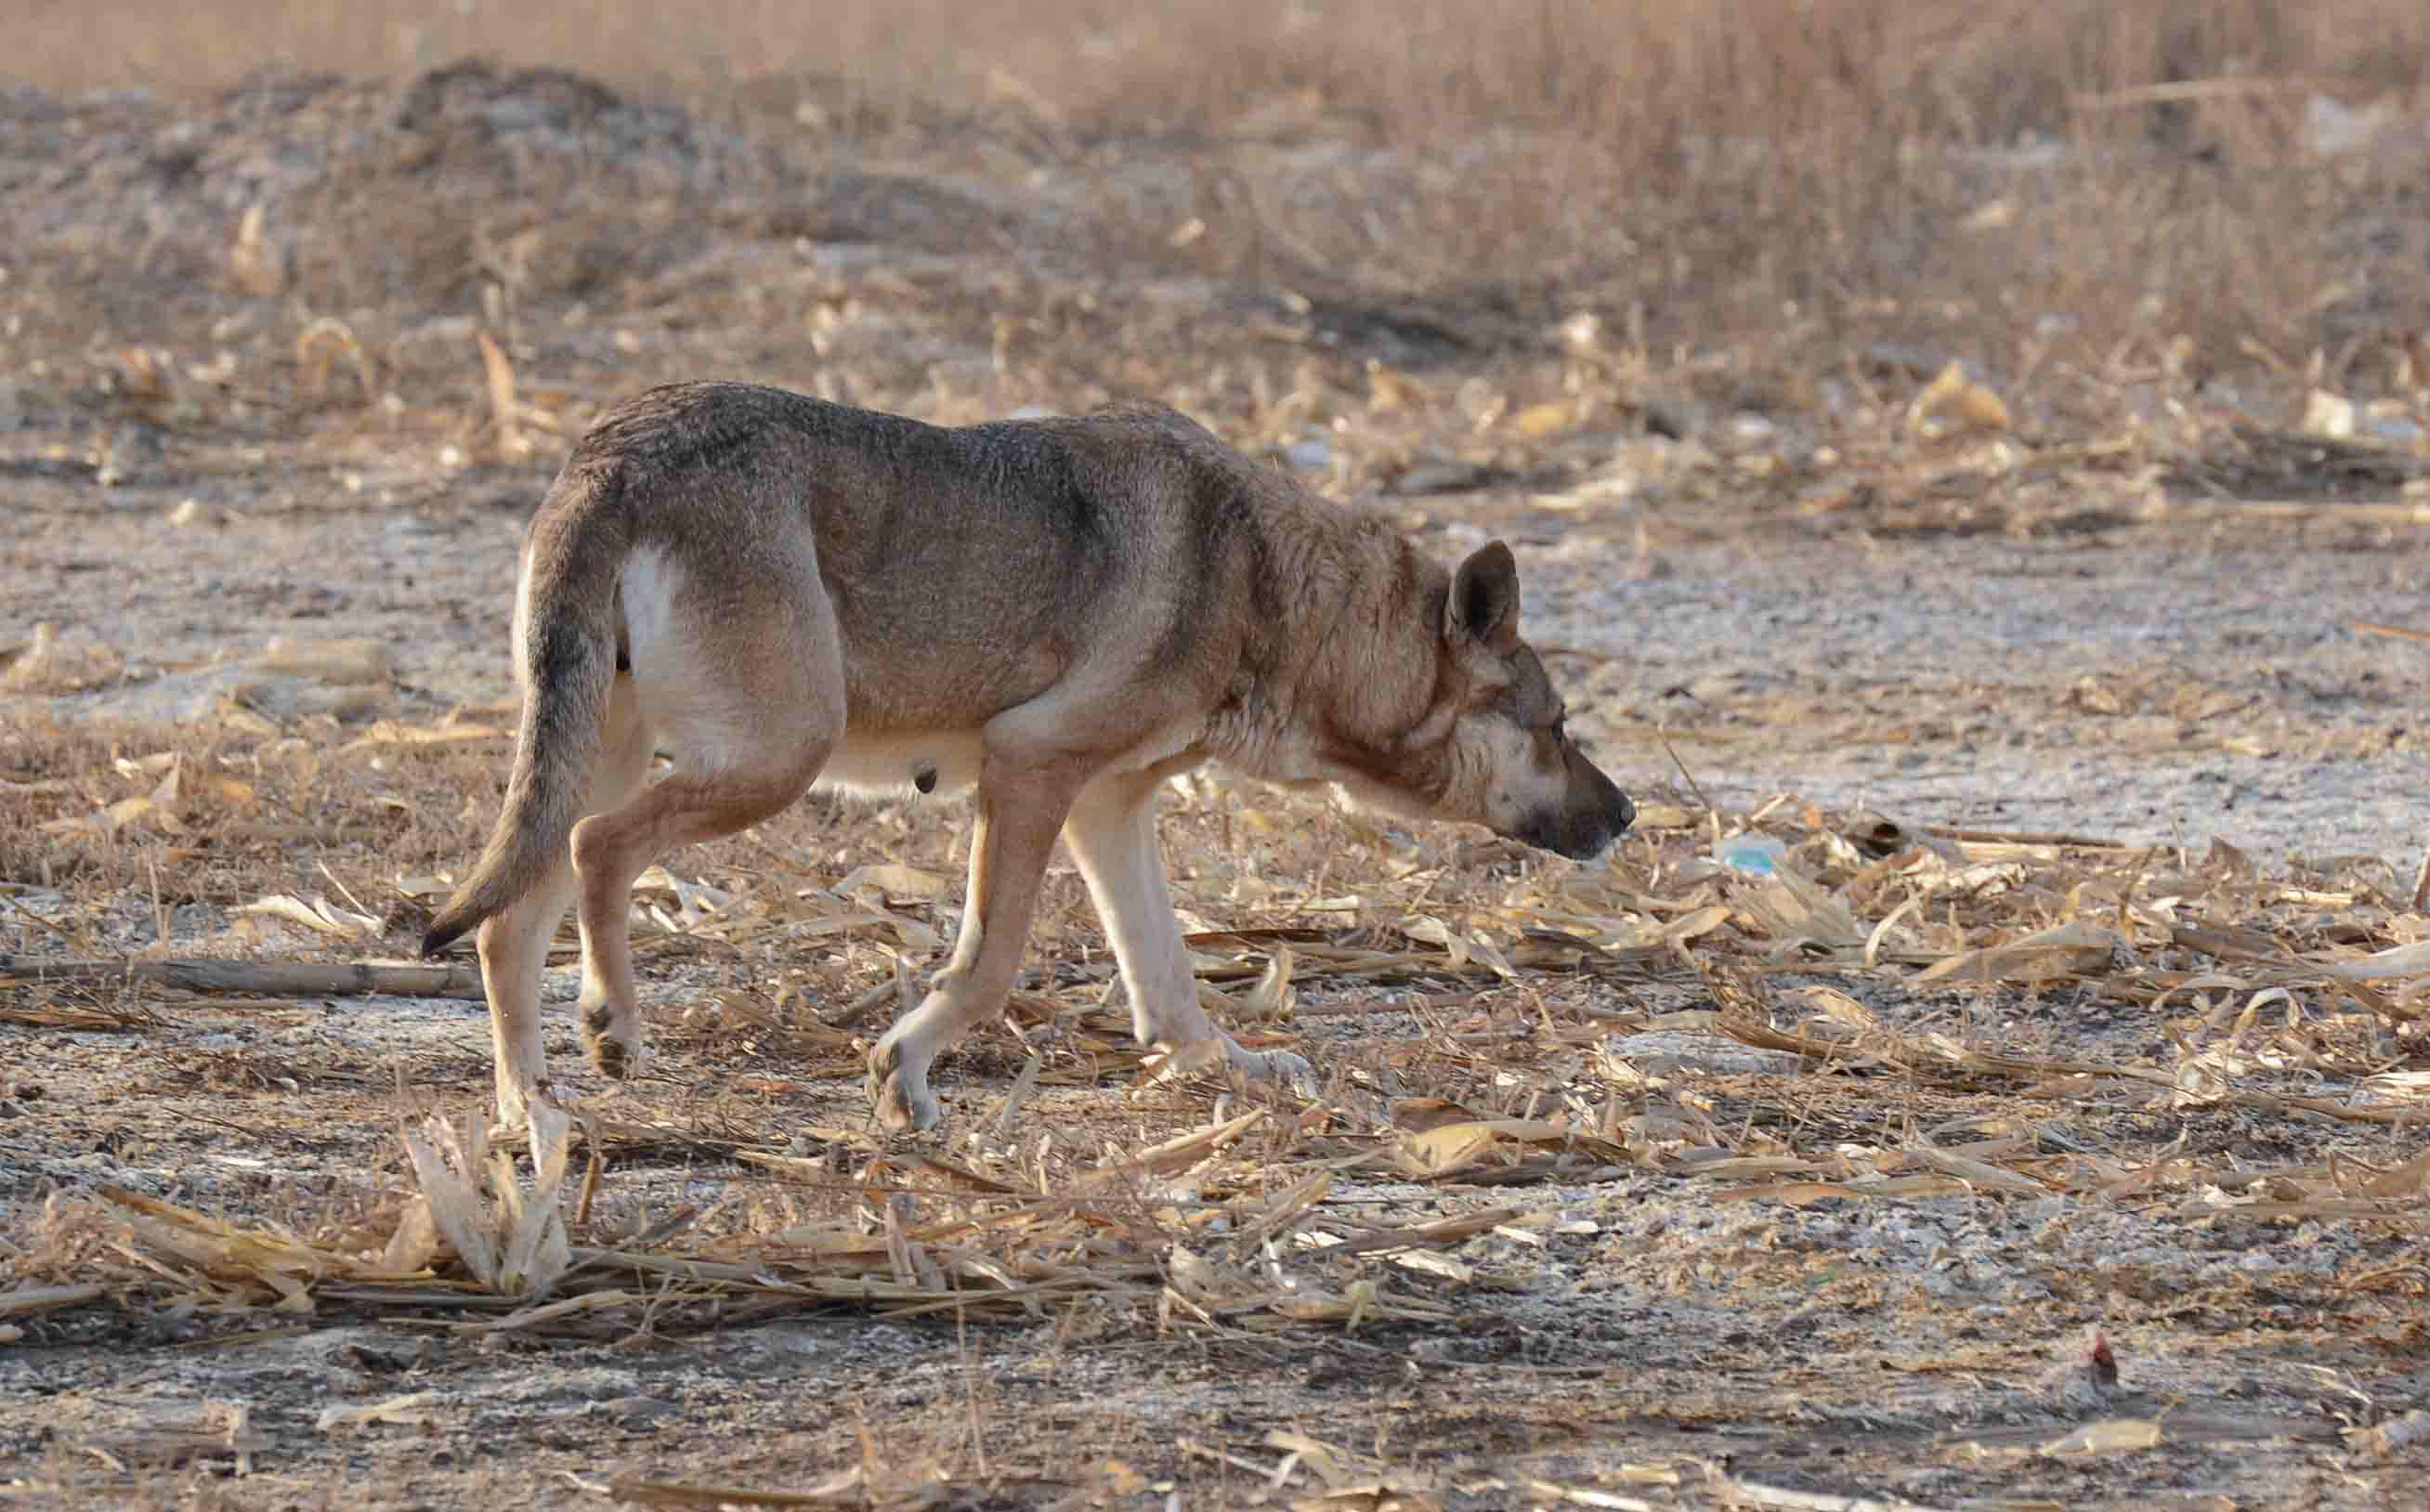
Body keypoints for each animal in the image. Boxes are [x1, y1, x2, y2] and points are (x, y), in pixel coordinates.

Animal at [423, 384, 1632, 1132]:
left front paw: (1234, 1068)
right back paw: (611, 1028)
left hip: (624, 753)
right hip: (771, 758)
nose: (1625, 815)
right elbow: (991, 963)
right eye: (1559, 723)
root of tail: (613, 451)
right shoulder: (1029, 766)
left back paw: (531, 1115)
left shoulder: (1110, 806)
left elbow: (1168, 985)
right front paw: (905, 1070)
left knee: (503, 923)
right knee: (596, 850)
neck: (1273, 581)